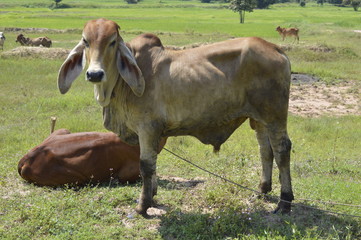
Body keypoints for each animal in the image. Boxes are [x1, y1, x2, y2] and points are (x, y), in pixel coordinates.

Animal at [57, 18, 292, 218]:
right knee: (265, 151)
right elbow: (152, 163)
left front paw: (143, 206)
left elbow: (146, 165)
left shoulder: (147, 128)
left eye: (112, 42)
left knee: (282, 150)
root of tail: (276, 48)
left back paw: (285, 202)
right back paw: (262, 190)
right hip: (259, 120)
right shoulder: (152, 133)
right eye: (86, 41)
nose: (95, 74)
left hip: (274, 116)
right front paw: (152, 197)